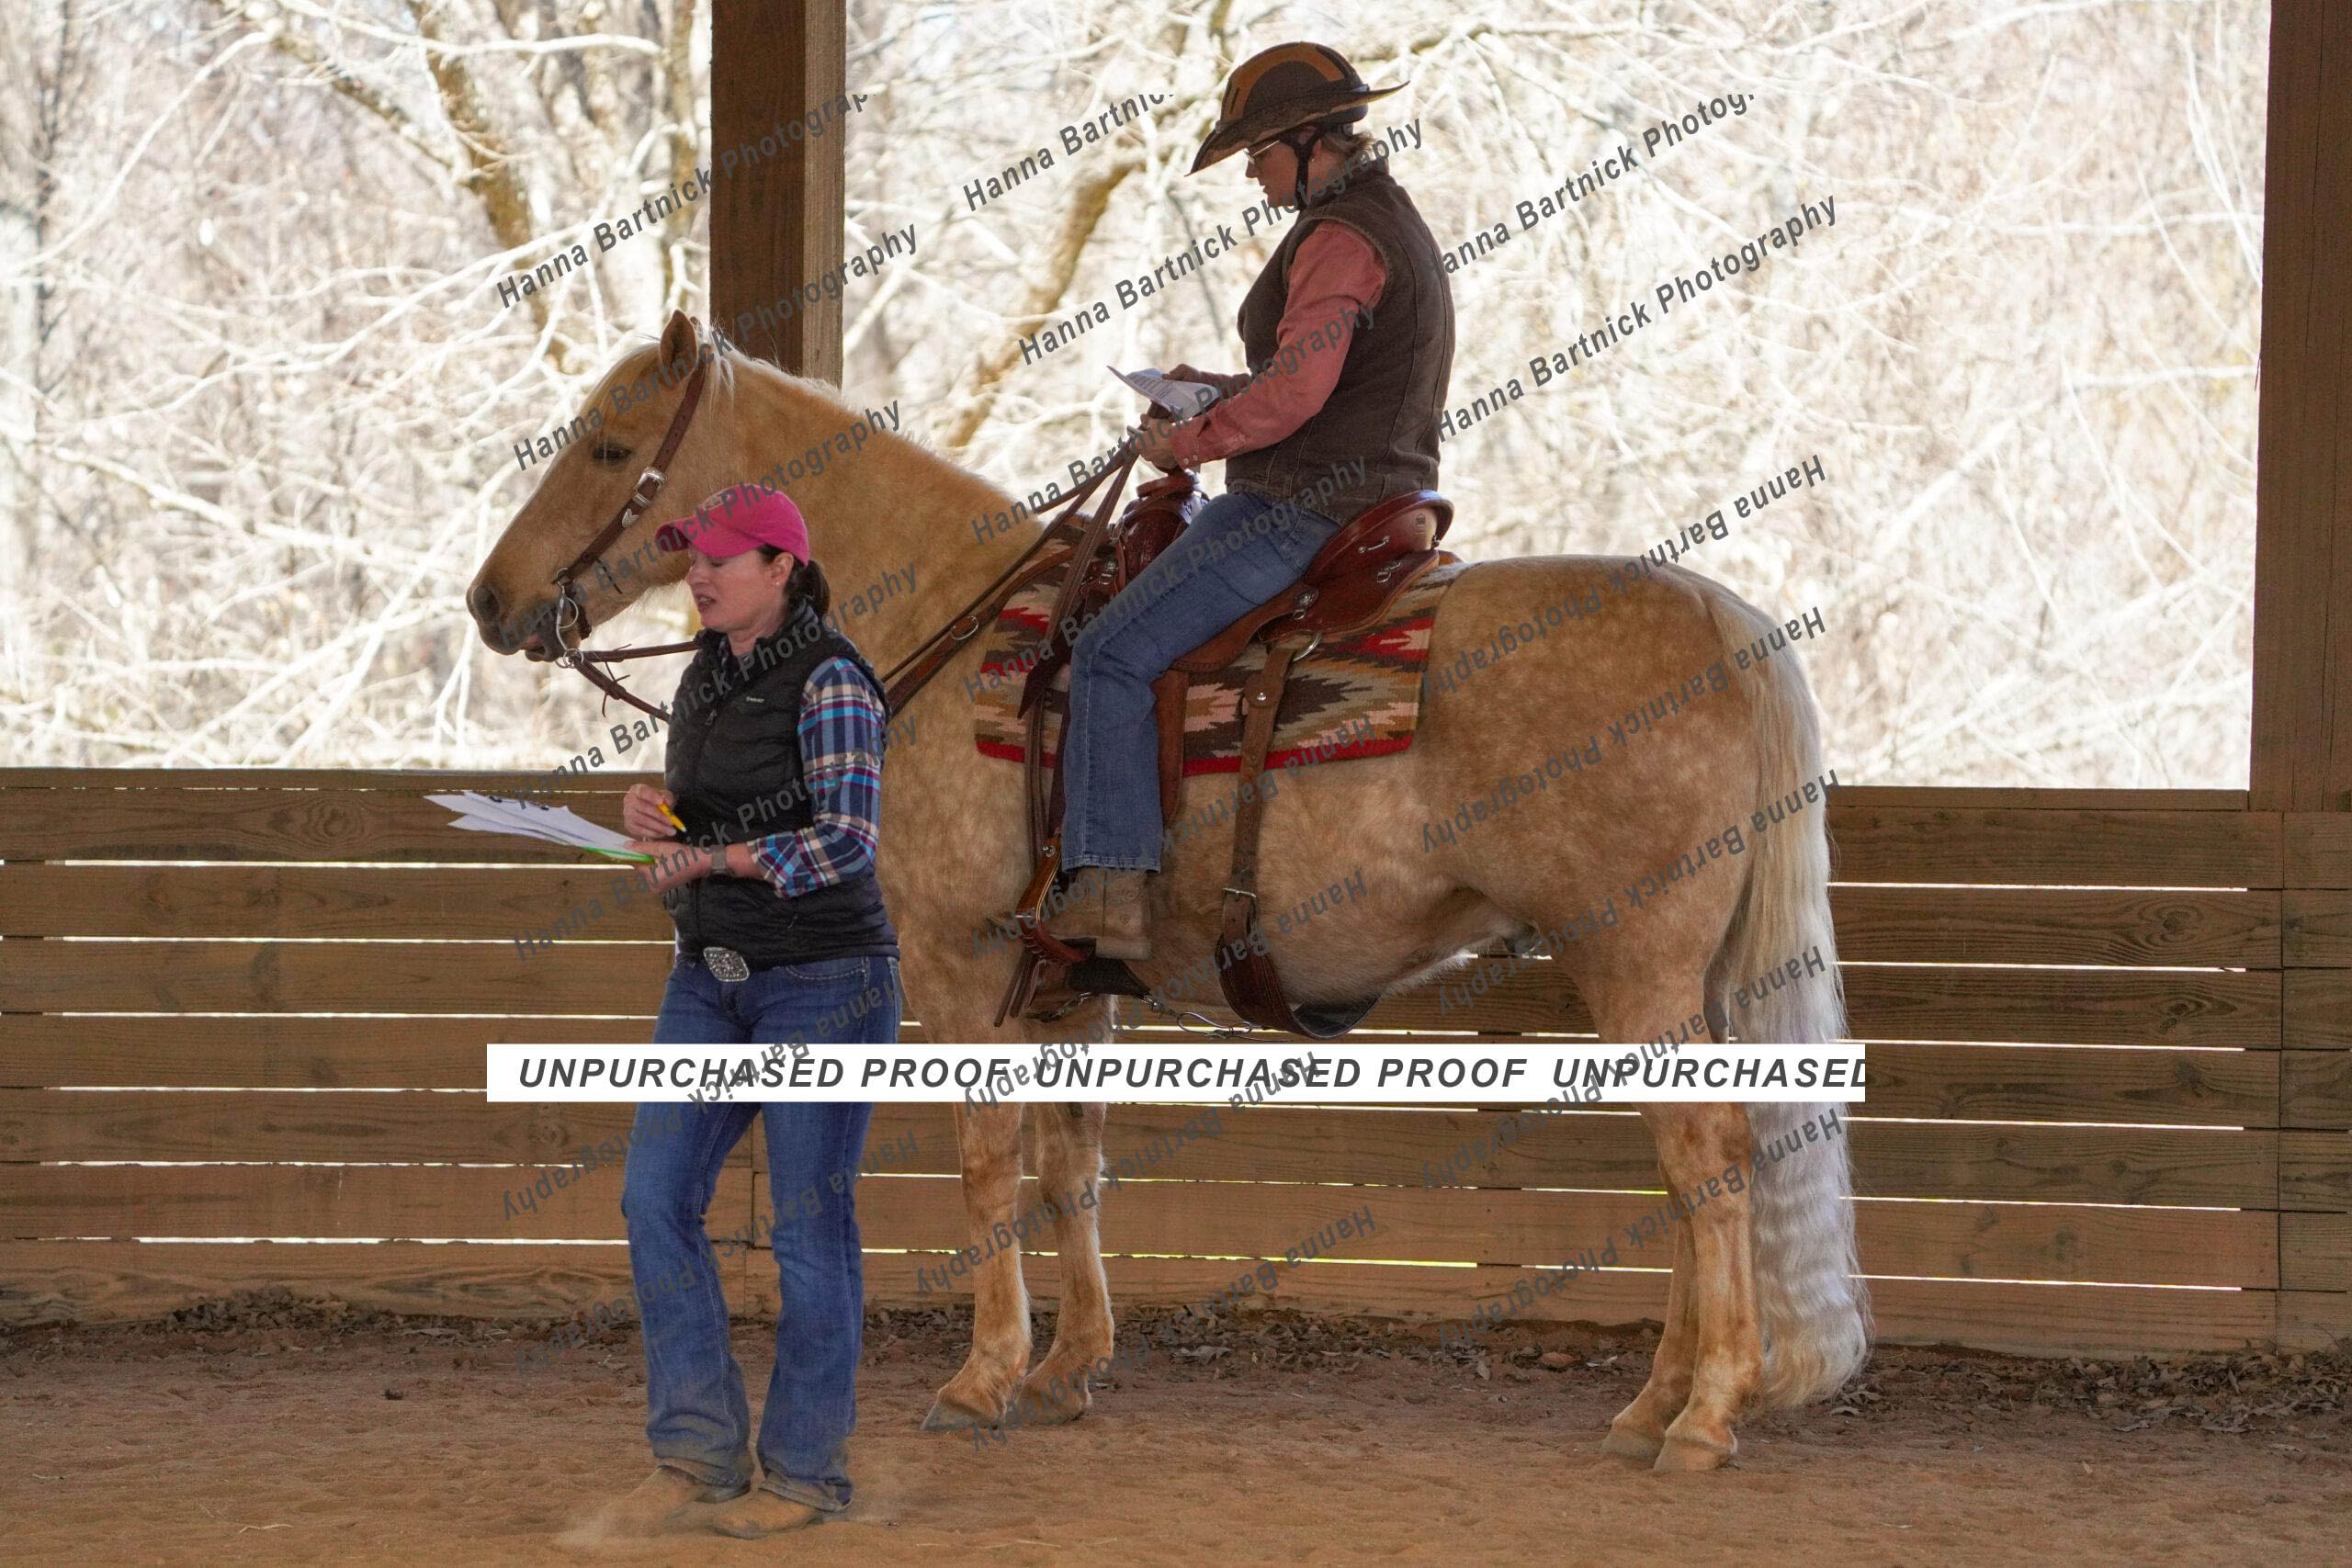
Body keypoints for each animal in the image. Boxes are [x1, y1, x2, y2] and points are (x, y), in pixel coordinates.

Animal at [467, 311, 1870, 1470]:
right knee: (1704, 1162)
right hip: (1683, 974)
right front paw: (1066, 1368)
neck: (954, 629)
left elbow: (988, 1163)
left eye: (607, 446)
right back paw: (1658, 1400)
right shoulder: (1067, 985)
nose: (491, 601)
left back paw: (1701, 1411)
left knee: (1707, 1159)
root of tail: (1731, 627)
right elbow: (1069, 1165)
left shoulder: (962, 963)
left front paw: (981, 1377)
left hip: (1637, 961)